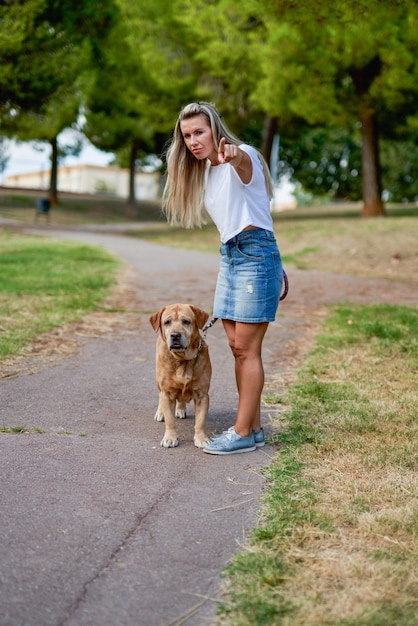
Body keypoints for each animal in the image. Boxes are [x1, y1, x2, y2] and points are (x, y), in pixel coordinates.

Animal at [149, 304, 212, 446]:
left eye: (186, 321)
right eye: (167, 322)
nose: (175, 335)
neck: (183, 360)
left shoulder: (202, 395)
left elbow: (200, 422)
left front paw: (201, 438)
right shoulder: (167, 393)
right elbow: (170, 421)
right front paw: (170, 438)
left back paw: (180, 409)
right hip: (158, 381)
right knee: (160, 395)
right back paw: (160, 412)